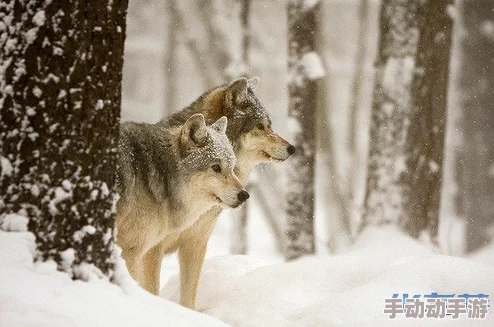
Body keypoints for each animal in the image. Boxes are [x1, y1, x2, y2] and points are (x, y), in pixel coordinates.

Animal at [145, 77, 296, 310]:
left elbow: (188, 299)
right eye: (260, 126)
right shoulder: (151, 250)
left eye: (270, 125)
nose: (292, 148)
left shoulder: (195, 245)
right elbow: (151, 290)